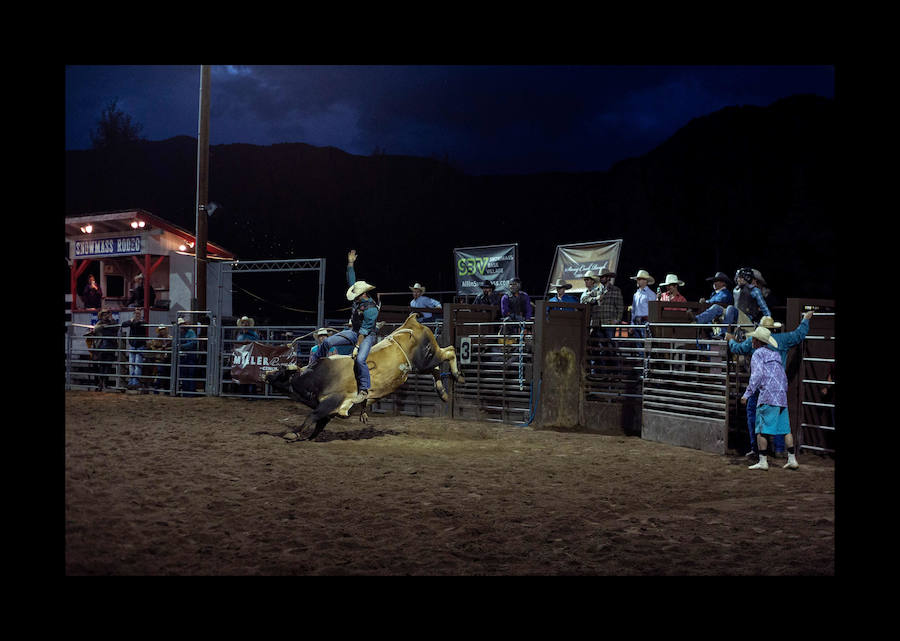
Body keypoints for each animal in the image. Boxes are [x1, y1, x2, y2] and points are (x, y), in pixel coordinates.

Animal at [256, 314, 460, 440]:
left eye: (281, 370)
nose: (266, 373)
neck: (316, 377)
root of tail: (410, 323)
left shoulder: (333, 400)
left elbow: (312, 416)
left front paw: (294, 434)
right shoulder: (329, 411)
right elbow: (318, 424)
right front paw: (309, 437)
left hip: (426, 358)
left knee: (449, 351)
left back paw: (458, 376)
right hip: (424, 363)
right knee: (436, 369)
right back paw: (443, 393)